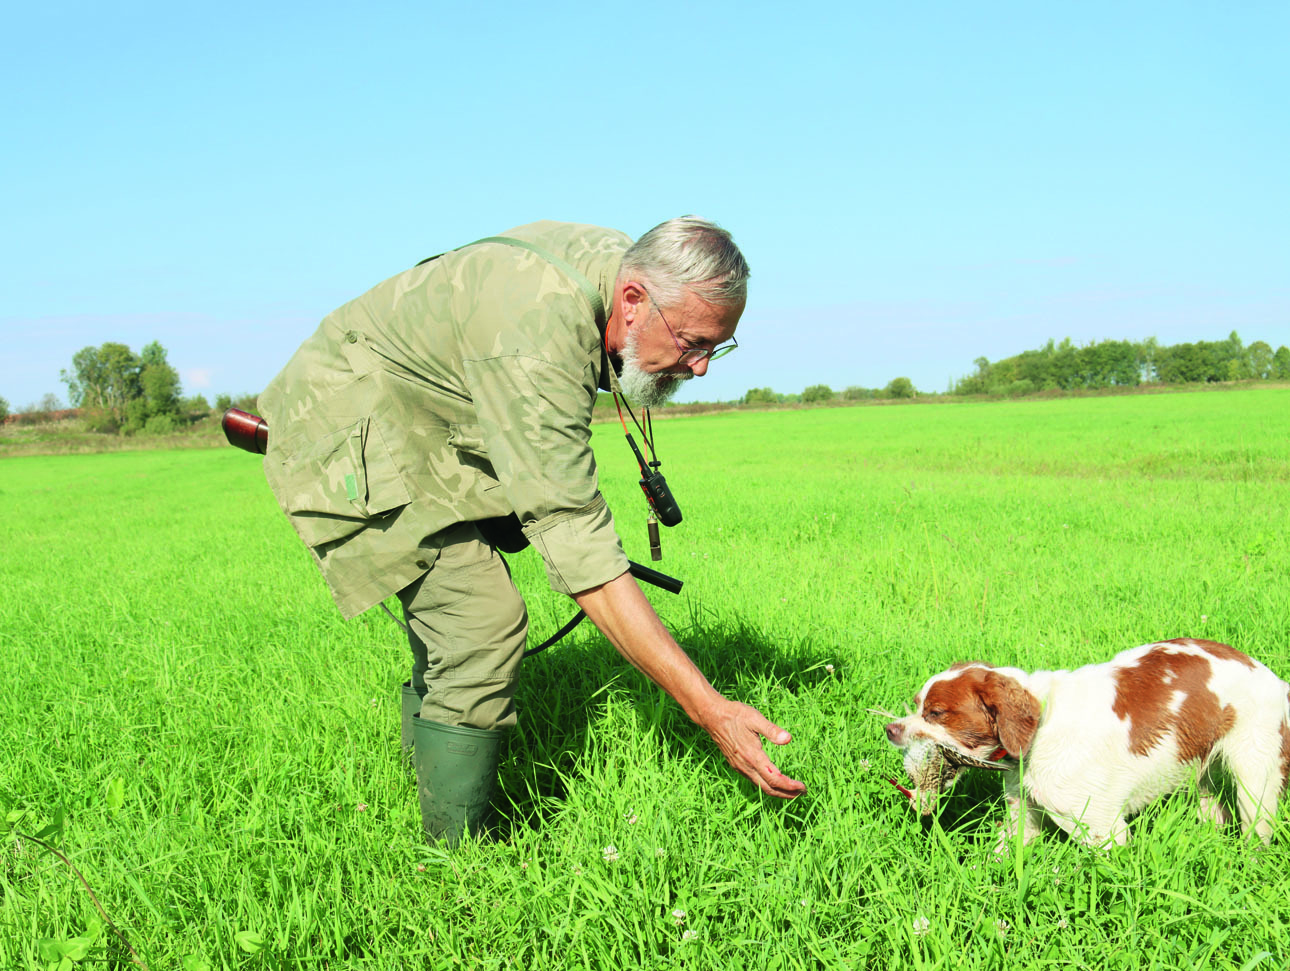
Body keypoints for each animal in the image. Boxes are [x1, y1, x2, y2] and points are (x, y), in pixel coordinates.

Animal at [882, 639, 1290, 845]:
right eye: (917, 705)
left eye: (936, 713)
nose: (890, 729)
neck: (1040, 728)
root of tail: (1271, 675)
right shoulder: (1023, 812)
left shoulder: (1103, 828)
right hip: (1200, 769)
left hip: (1255, 777)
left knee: (1257, 830)